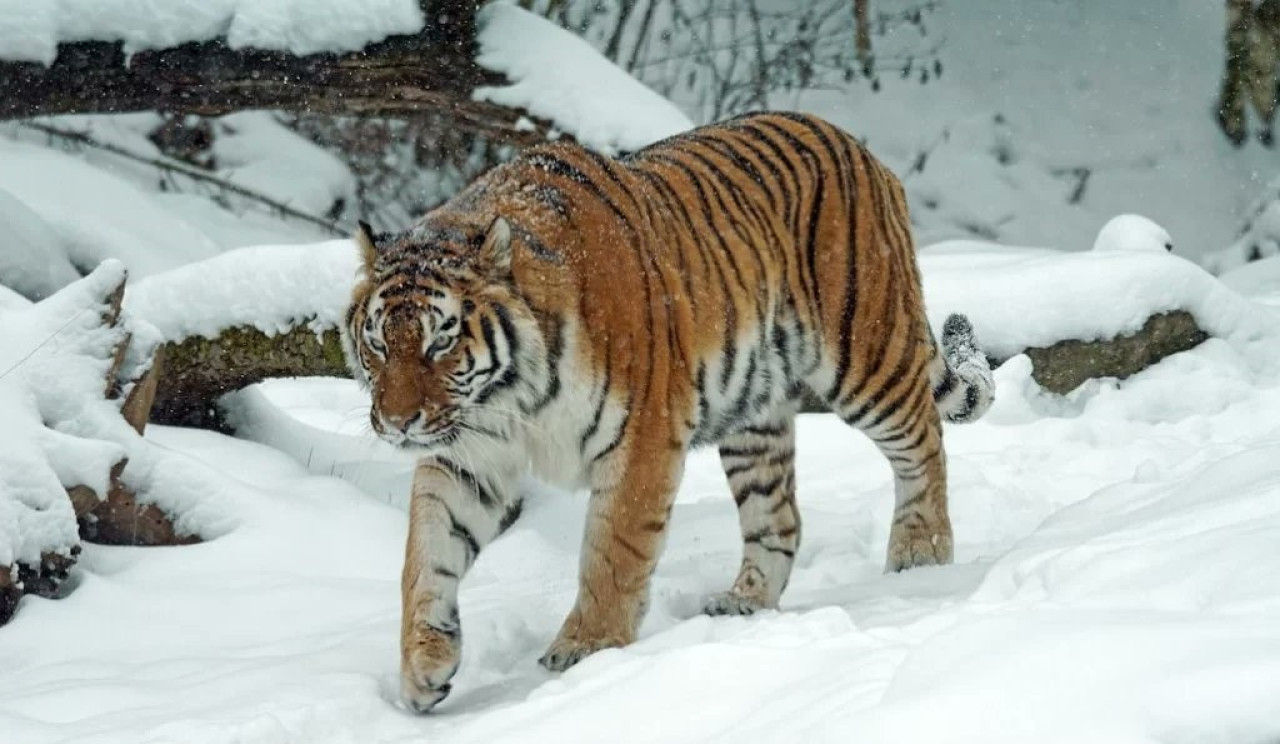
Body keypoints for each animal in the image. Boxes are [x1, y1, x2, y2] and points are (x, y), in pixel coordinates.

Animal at [343, 108, 998, 706]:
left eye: (441, 341)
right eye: (378, 342)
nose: (397, 424)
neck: (508, 397)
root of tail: (858, 146)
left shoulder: (642, 439)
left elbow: (613, 552)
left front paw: (587, 649)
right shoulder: (467, 456)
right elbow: (426, 553)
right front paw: (423, 666)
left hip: (865, 353)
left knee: (924, 442)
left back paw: (922, 556)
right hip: (754, 417)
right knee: (779, 516)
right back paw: (744, 603)